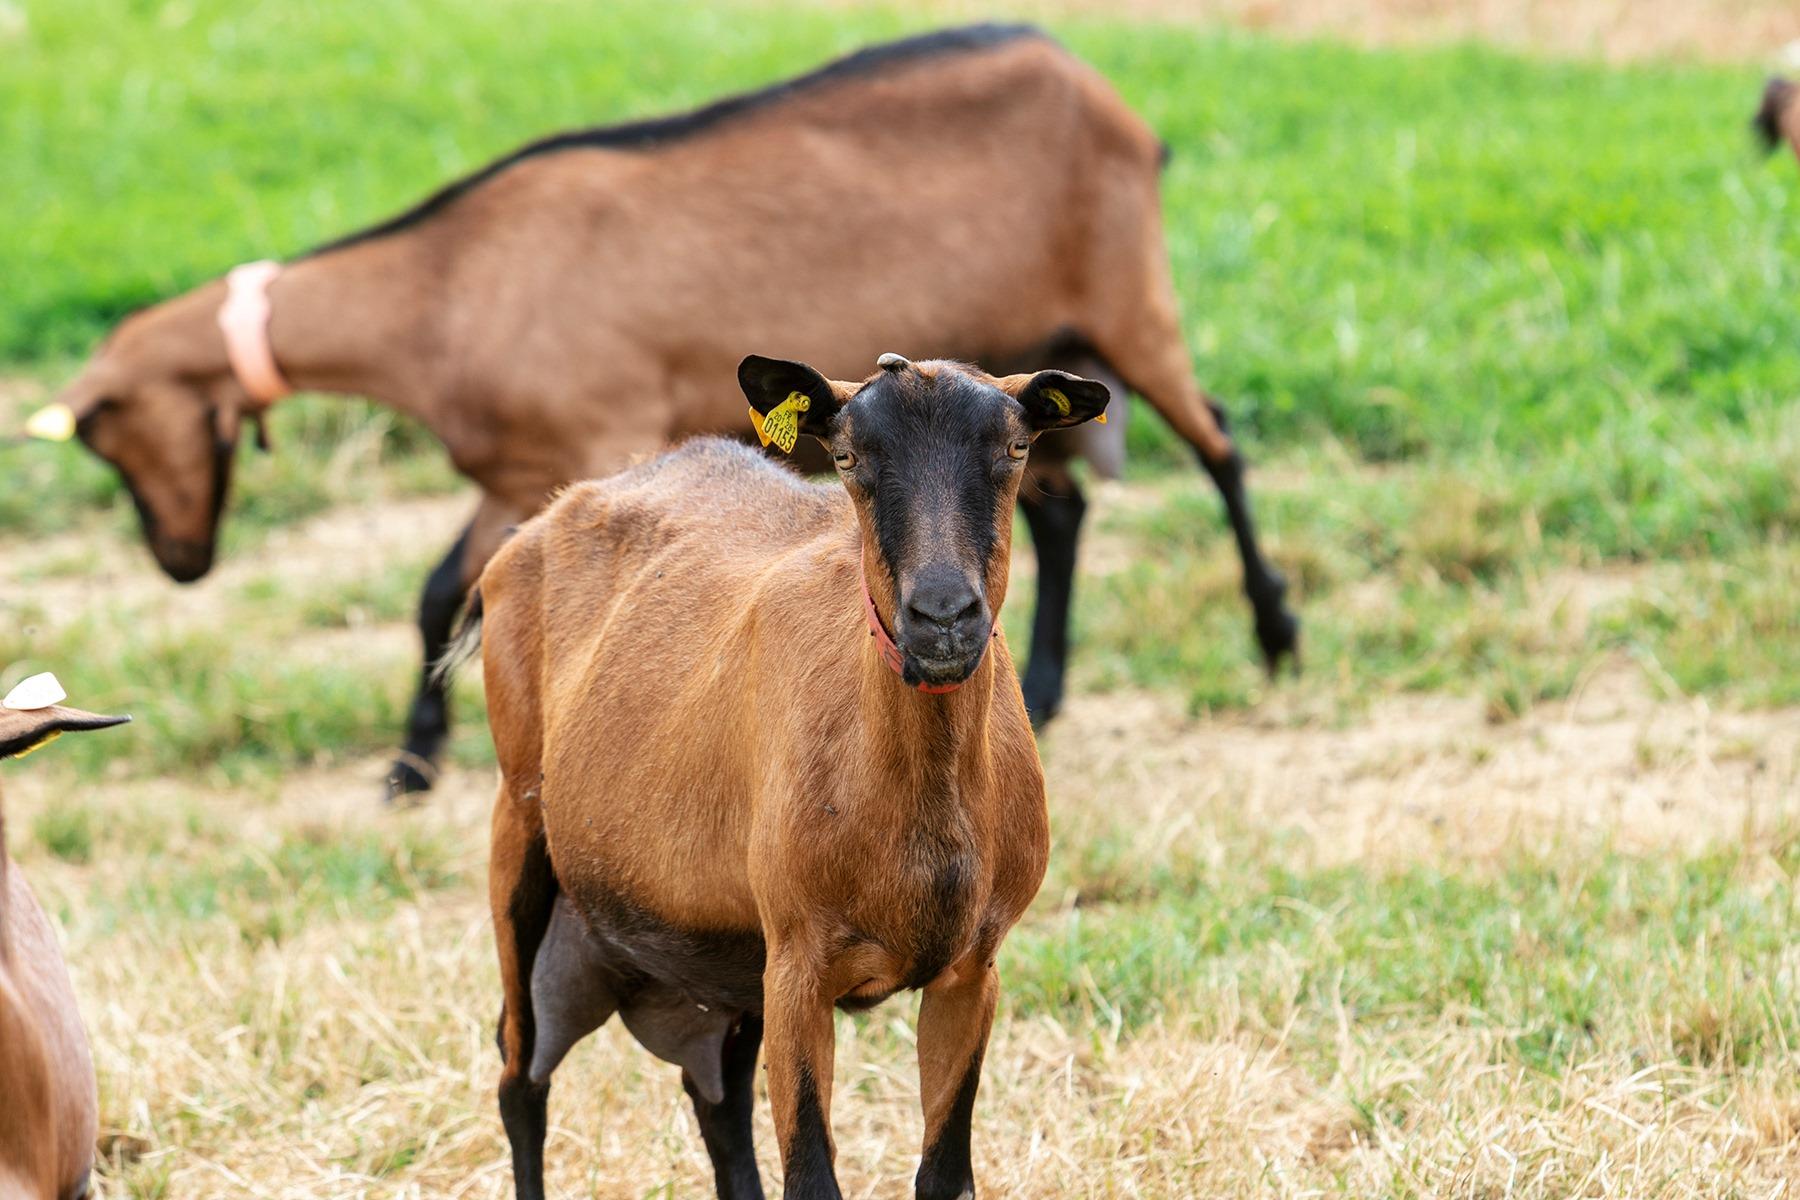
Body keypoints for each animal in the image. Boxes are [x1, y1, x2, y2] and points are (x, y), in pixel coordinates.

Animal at [38, 23, 1297, 800]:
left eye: (105, 436)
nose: (182, 562)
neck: (446, 291)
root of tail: (1103, 92)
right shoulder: (518, 467)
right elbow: (440, 593)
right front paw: (412, 764)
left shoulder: (592, 441)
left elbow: (463, 592)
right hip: (1030, 365)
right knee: (1067, 507)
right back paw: (1042, 685)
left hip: (1128, 300)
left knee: (1221, 442)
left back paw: (1277, 632)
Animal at [460, 354, 1106, 1199]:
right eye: (848, 458)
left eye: (1017, 448)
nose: (942, 619)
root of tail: (538, 527)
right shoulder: (800, 965)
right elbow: (812, 1178)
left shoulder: (971, 970)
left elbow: (943, 1176)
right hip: (522, 837)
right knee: (520, 1074)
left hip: (723, 962)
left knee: (717, 1100)